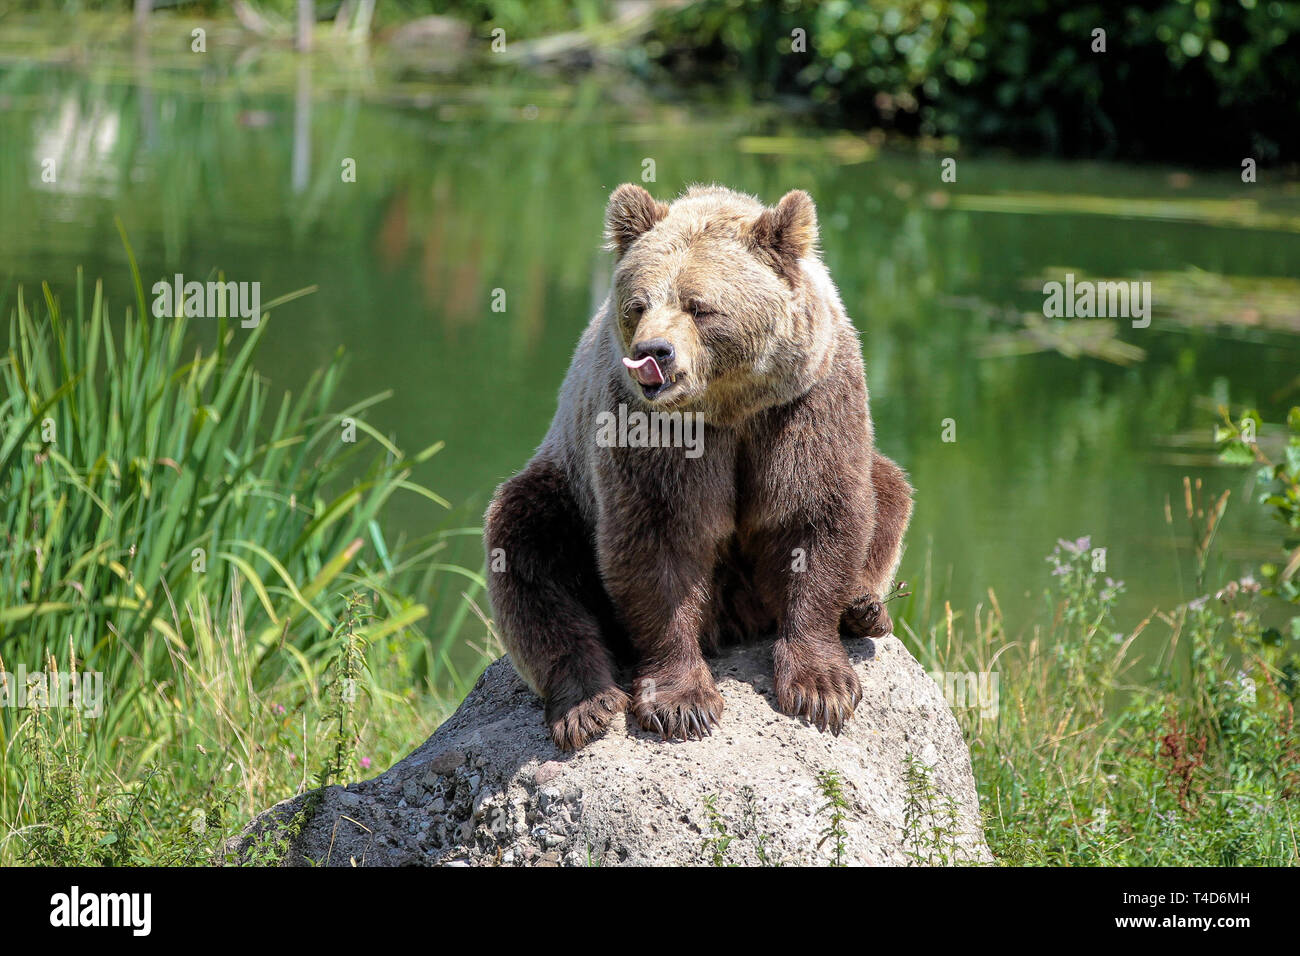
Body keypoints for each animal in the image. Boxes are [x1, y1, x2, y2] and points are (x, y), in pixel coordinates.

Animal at [483, 183, 913, 751]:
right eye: (637, 304)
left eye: (699, 306)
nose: (653, 353)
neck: (727, 406)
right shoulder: (648, 430)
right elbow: (659, 540)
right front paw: (682, 703)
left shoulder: (806, 403)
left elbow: (815, 514)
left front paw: (820, 687)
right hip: (564, 486)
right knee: (525, 548)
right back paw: (586, 703)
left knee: (888, 489)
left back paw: (864, 609)